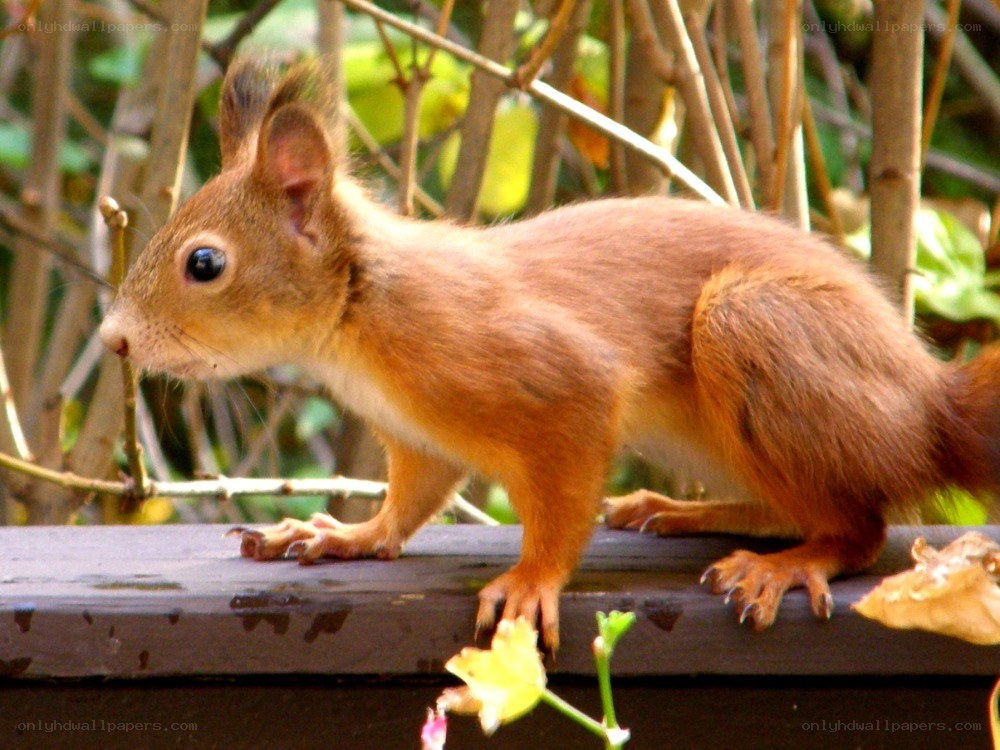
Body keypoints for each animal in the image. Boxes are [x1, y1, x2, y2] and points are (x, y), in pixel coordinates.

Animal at [100, 58, 1000, 652]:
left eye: (204, 264)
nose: (114, 338)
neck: (363, 313)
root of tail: (931, 404)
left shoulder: (558, 380)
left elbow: (562, 503)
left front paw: (531, 584)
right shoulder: (418, 438)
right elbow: (410, 504)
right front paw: (344, 535)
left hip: (752, 325)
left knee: (860, 526)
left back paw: (785, 564)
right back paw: (686, 511)